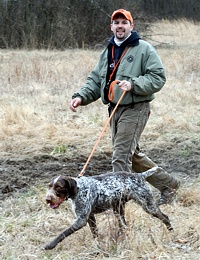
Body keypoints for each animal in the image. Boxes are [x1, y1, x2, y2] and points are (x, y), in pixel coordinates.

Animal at [44, 167, 173, 250]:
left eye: (59, 187)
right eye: (49, 186)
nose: (47, 199)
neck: (79, 189)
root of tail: (139, 175)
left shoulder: (81, 220)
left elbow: (63, 233)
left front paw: (50, 245)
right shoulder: (90, 217)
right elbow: (95, 233)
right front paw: (97, 246)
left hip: (148, 206)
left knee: (165, 217)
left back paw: (171, 232)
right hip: (118, 209)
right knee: (124, 226)